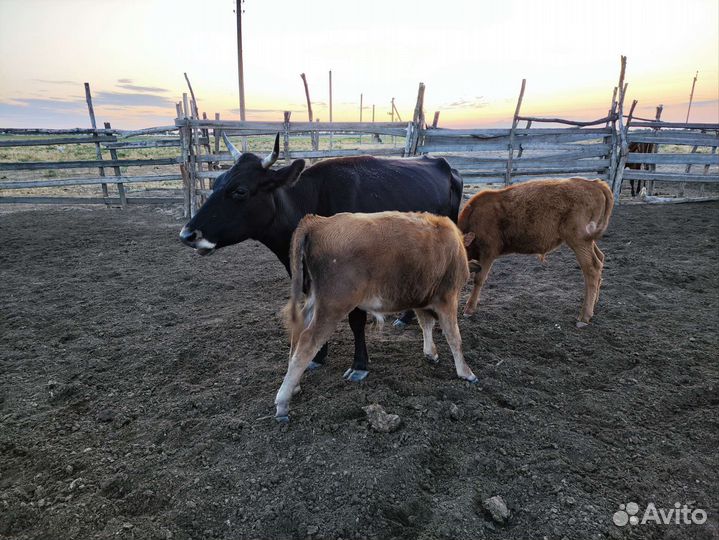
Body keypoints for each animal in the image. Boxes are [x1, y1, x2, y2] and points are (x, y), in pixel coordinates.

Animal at [179, 133, 464, 381]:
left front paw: (359, 365)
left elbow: (356, 321)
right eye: (216, 183)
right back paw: (405, 317)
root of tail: (443, 163)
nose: (187, 234)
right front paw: (317, 357)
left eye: (240, 190)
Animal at [275, 211, 478, 421]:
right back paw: (282, 403)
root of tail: (318, 222)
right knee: (308, 341)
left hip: (315, 301)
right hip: (333, 306)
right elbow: (454, 337)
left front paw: (431, 353)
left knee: (297, 333)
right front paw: (466, 372)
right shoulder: (448, 298)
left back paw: (294, 387)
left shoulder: (422, 297)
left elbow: (426, 324)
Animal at [458, 177, 613, 327]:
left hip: (579, 240)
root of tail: (594, 184)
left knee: (592, 269)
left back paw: (584, 316)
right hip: (588, 241)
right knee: (600, 259)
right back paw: (595, 303)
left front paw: (469, 308)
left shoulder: (488, 252)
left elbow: (479, 279)